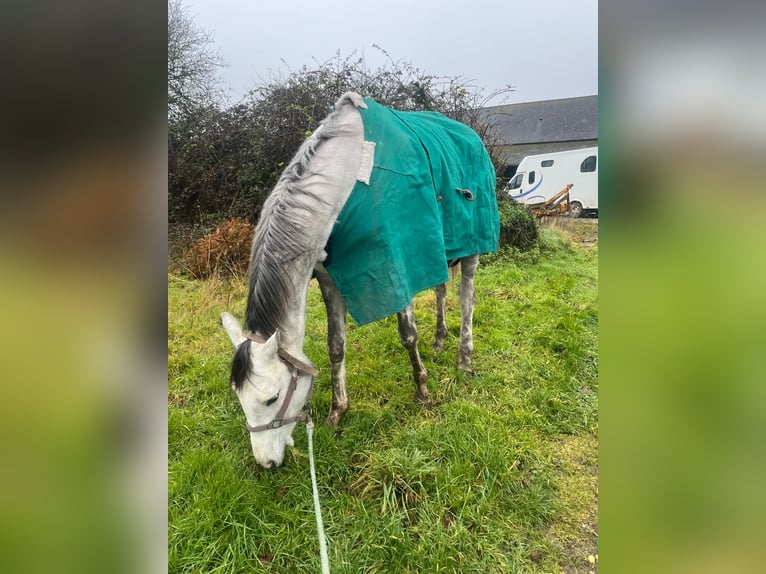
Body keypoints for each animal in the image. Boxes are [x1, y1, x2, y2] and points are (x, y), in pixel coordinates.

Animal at [222, 93, 500, 468]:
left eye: (271, 398)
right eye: (239, 398)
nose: (267, 463)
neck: (347, 179)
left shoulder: (398, 264)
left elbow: (407, 335)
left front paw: (423, 393)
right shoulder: (329, 279)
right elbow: (335, 346)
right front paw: (337, 411)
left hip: (472, 248)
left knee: (466, 298)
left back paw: (464, 361)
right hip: (441, 249)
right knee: (442, 289)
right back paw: (440, 341)